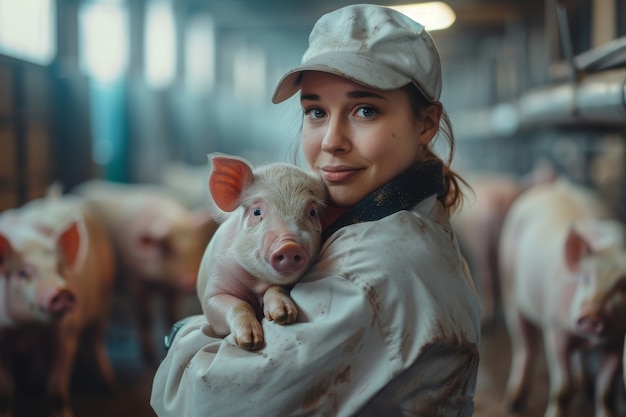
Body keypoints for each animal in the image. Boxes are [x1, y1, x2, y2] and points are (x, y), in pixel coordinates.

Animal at [0, 192, 116, 416]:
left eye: (60, 269)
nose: (62, 291)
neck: (28, 330)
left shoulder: (67, 335)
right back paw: (33, 384)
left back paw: (108, 385)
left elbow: (56, 390)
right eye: (23, 273)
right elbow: (7, 393)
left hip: (105, 297)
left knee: (96, 341)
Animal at [73, 179, 217, 364]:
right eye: (166, 248)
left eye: (195, 248)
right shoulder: (134, 278)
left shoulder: (173, 289)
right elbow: (144, 316)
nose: (187, 281)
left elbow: (170, 313)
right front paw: (150, 360)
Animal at [197, 151, 326, 350]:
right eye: (256, 212)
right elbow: (237, 304)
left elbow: (275, 288)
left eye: (312, 212)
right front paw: (250, 342)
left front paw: (284, 316)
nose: (289, 246)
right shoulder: (213, 290)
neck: (255, 284)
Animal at [500, 178, 626, 416]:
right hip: (510, 292)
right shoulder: (555, 328)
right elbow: (563, 388)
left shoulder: (616, 341)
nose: (591, 313)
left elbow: (604, 390)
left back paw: (585, 389)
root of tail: (557, 184)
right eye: (585, 278)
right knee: (524, 347)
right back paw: (513, 403)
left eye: (622, 285)